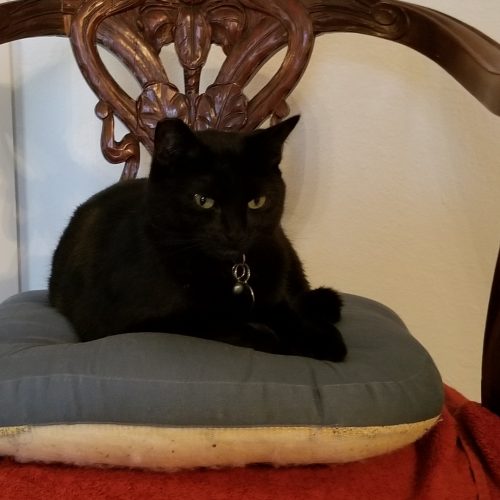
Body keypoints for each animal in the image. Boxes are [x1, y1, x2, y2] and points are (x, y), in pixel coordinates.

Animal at [48, 116, 347, 361]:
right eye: (203, 200)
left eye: (257, 202)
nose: (235, 232)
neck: (229, 272)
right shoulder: (127, 323)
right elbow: (213, 324)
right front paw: (268, 336)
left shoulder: (274, 298)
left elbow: (287, 314)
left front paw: (320, 337)